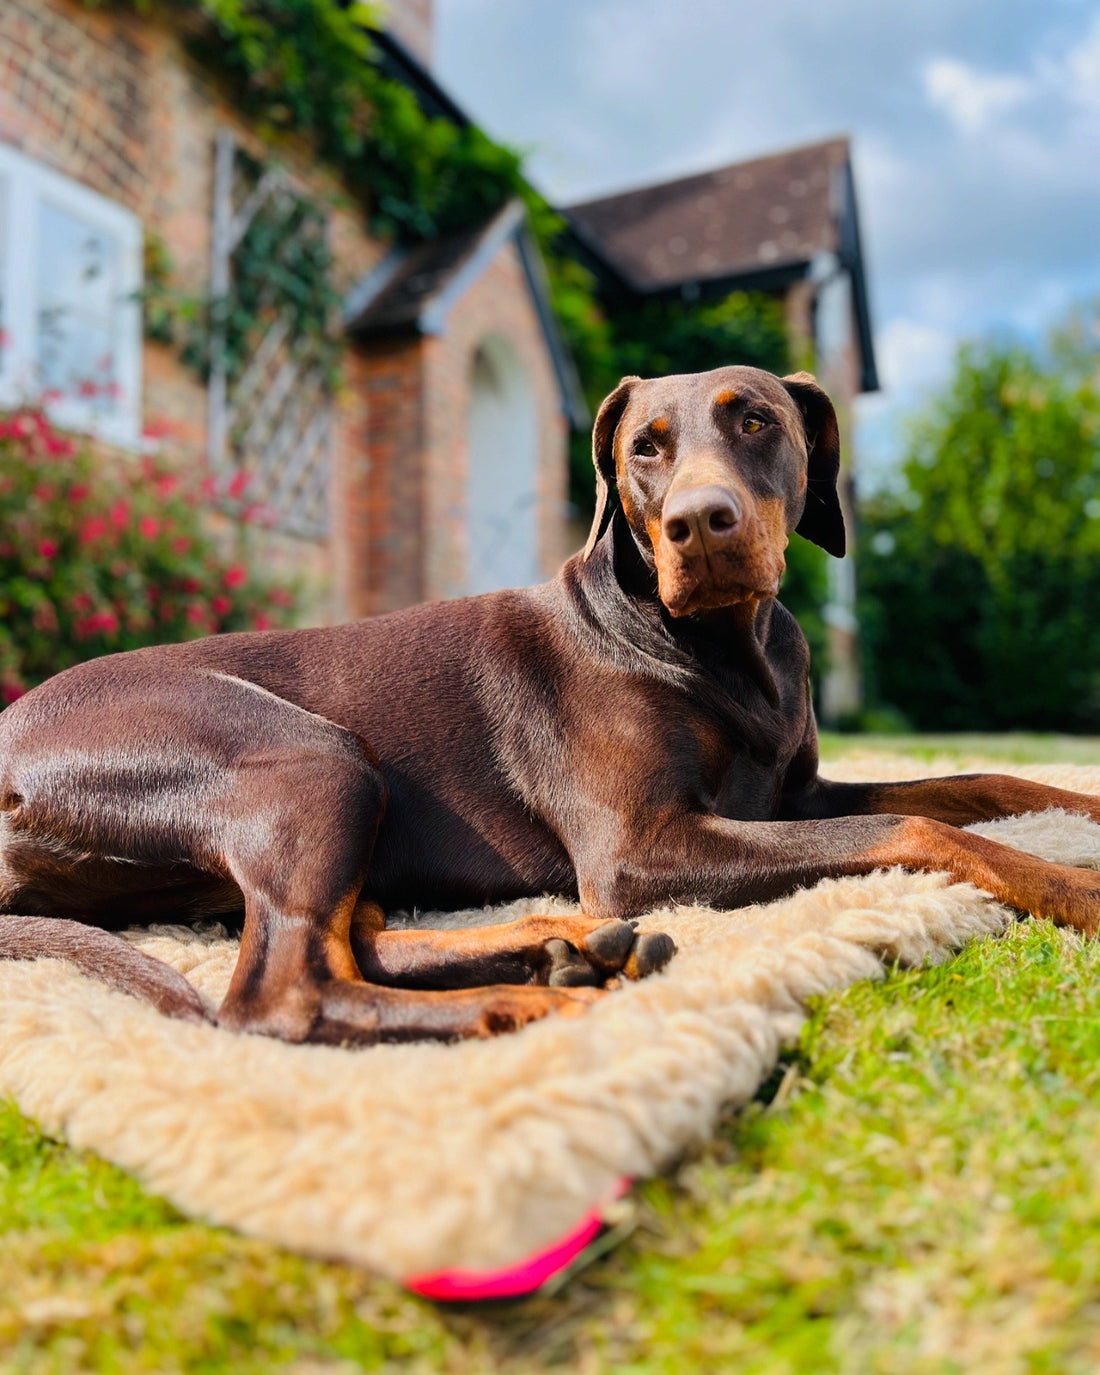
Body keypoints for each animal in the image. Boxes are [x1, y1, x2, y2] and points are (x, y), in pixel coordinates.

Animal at [0, 365, 1094, 1039]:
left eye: (756, 419)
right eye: (646, 446)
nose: (701, 523)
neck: (722, 651)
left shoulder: (795, 793)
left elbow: (981, 780)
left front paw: (1076, 813)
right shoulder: (644, 849)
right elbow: (920, 827)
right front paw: (1073, 885)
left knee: (358, 943)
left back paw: (560, 951)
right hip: (309, 756)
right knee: (284, 994)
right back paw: (542, 1005)